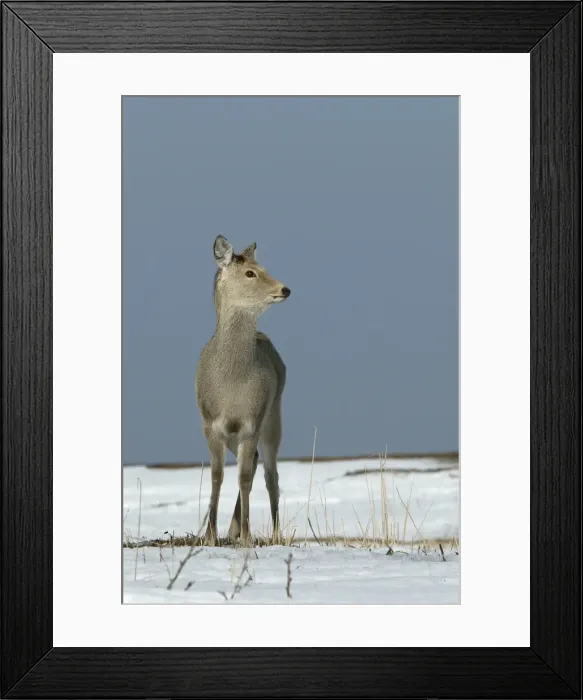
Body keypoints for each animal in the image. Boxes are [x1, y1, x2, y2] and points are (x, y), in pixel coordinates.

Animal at [195, 235, 290, 547]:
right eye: (250, 273)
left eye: (263, 267)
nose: (284, 289)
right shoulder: (210, 423)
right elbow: (216, 476)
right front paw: (210, 535)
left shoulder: (252, 422)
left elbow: (246, 478)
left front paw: (248, 535)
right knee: (257, 464)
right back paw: (232, 530)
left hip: (273, 417)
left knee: (271, 474)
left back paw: (274, 533)